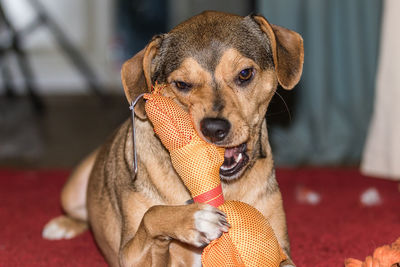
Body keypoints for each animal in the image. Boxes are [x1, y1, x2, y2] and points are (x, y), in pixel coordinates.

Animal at [43, 11, 304, 267]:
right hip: (72, 189)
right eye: (182, 84)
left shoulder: (281, 250)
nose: (213, 128)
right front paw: (195, 219)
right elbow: (152, 214)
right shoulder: (129, 255)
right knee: (82, 214)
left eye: (245, 73)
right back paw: (62, 225)